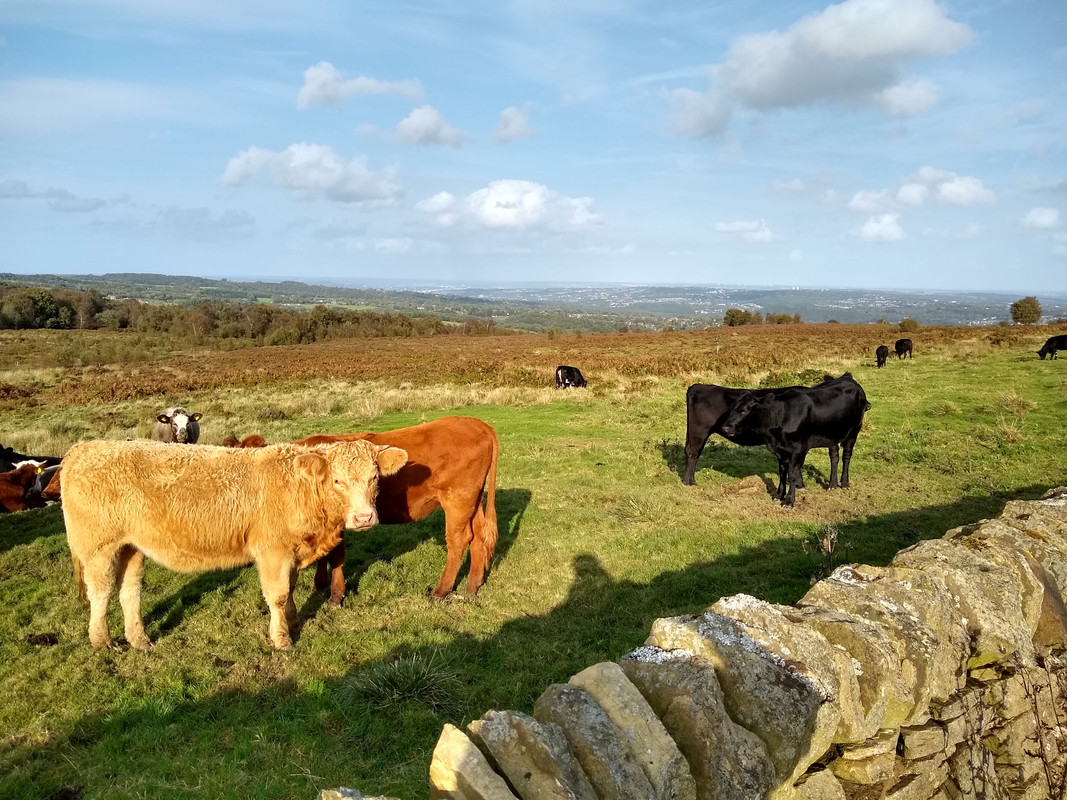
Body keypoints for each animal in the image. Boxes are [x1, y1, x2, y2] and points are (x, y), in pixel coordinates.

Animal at [61, 438, 407, 650]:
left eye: (374, 477)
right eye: (338, 481)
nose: (364, 517)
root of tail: (84, 447)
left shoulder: (290, 552)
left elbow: (291, 588)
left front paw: (294, 619)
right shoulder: (272, 552)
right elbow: (278, 595)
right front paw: (281, 638)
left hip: (131, 547)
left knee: (129, 591)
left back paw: (139, 639)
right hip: (99, 547)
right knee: (101, 591)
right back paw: (102, 640)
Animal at [228, 416, 499, 604]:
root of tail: (477, 424)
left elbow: (336, 554)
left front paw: (335, 595)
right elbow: (324, 554)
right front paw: (319, 584)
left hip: (458, 499)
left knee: (458, 540)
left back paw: (441, 591)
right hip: (473, 501)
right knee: (478, 537)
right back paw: (472, 587)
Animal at [719, 373, 870, 508]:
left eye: (744, 411)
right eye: (732, 409)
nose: (726, 427)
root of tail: (849, 379)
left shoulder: (799, 449)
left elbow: (792, 475)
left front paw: (789, 501)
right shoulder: (780, 450)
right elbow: (782, 473)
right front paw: (779, 495)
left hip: (854, 431)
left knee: (846, 456)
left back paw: (844, 483)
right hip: (832, 435)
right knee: (834, 457)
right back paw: (832, 485)